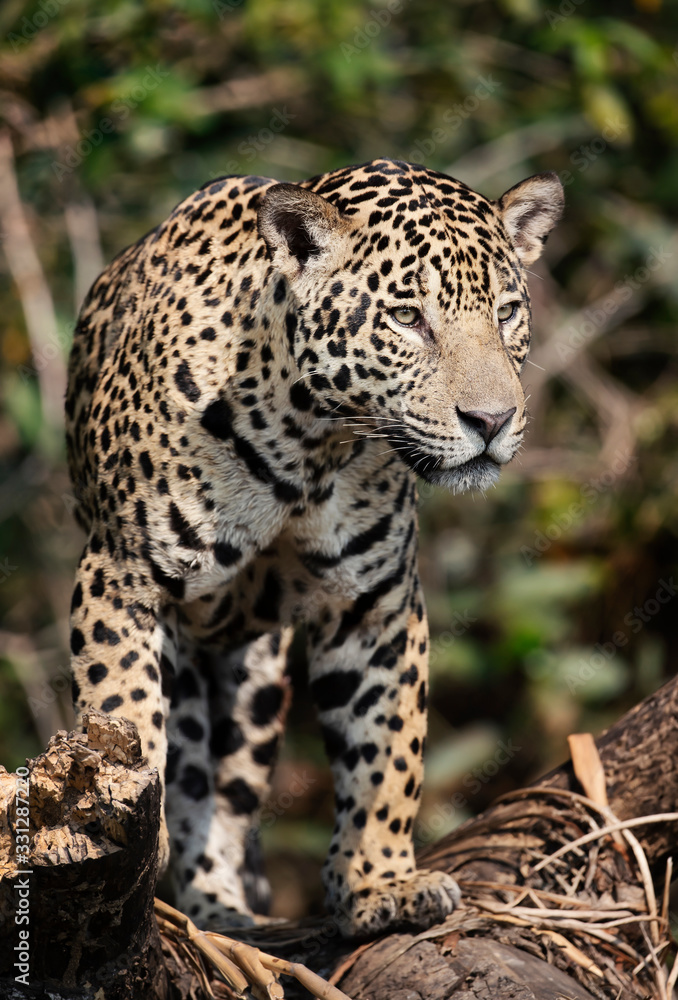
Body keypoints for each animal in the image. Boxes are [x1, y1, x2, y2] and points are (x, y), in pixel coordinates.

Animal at [65, 157, 563, 938]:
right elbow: (122, 706)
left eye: (507, 312)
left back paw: (229, 918)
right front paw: (126, 830)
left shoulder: (375, 607)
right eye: (407, 318)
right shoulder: (120, 575)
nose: (492, 420)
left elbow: (387, 753)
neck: (308, 443)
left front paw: (380, 883)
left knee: (226, 800)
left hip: (256, 691)